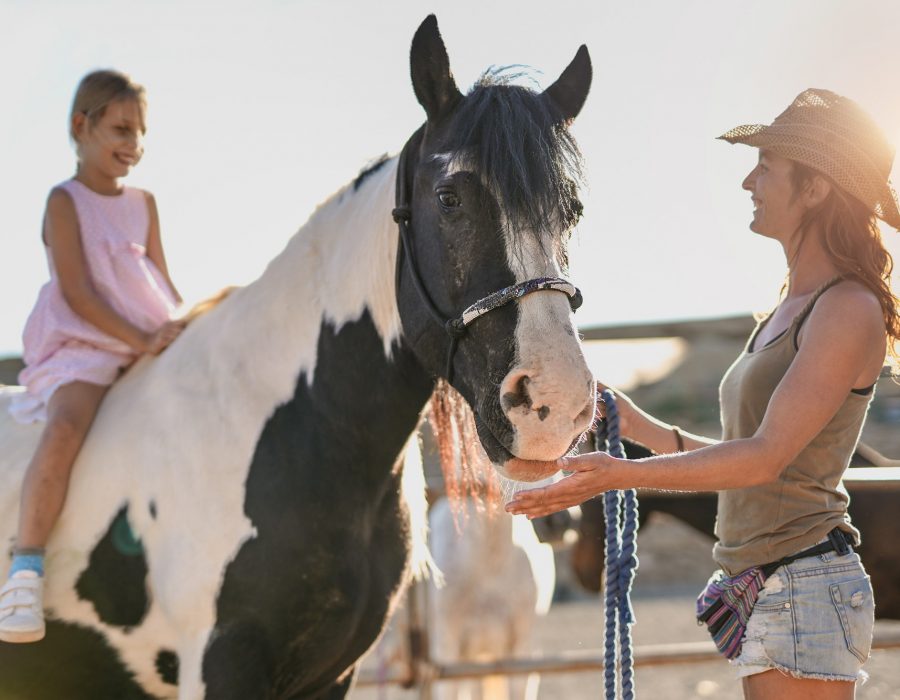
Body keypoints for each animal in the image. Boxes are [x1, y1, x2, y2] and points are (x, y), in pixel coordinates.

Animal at [0, 15, 596, 700]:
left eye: (572, 210)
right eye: (449, 198)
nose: (554, 403)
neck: (291, 431)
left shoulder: (331, 675)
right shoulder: (220, 667)